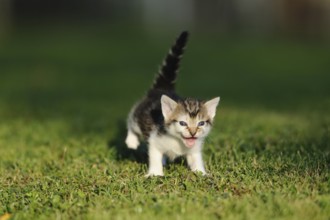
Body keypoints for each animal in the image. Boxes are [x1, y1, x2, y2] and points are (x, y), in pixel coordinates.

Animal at [125, 31, 220, 176]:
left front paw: (202, 174)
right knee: (132, 122)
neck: (178, 141)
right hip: (138, 115)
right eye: (182, 123)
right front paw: (155, 174)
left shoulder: (194, 149)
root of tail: (163, 88)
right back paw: (131, 141)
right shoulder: (155, 140)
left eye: (201, 123)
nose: (193, 133)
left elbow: (196, 160)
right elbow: (155, 156)